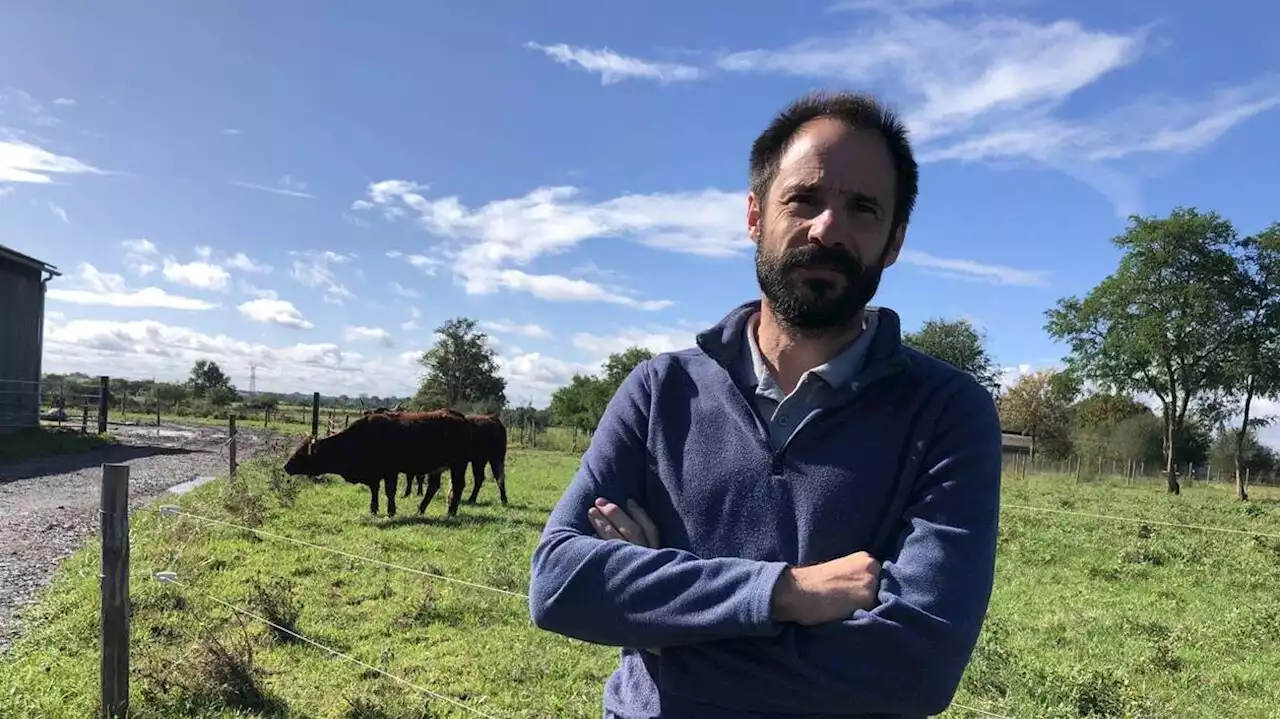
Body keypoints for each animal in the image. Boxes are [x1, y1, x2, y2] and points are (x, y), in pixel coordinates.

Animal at [282, 409, 473, 514]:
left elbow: (389, 492)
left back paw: (451, 511)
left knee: (458, 485)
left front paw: (391, 511)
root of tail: (460, 416)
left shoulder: (391, 472)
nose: (286, 466)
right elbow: (374, 490)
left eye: (300, 454)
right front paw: (374, 509)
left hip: (459, 464)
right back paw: (421, 509)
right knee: (433, 487)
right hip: (437, 468)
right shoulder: (374, 474)